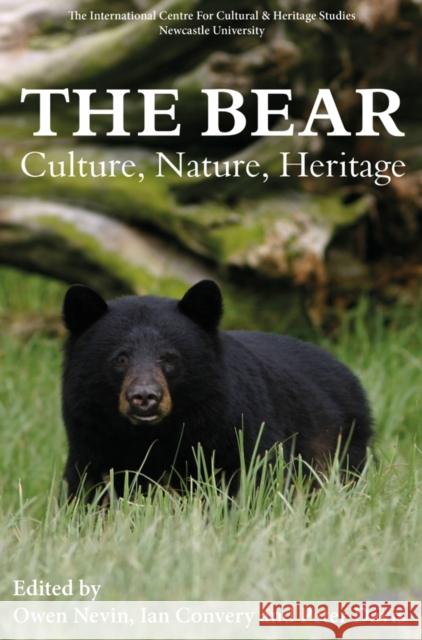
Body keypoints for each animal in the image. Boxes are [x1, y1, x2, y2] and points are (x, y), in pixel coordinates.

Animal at [62, 279, 372, 499]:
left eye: (169, 358)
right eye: (121, 358)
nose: (145, 397)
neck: (154, 434)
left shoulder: (233, 429)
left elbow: (255, 476)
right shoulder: (93, 439)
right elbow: (89, 489)